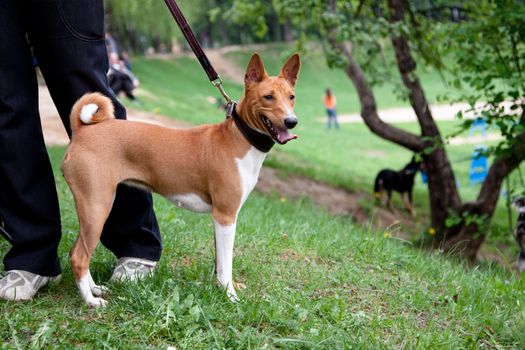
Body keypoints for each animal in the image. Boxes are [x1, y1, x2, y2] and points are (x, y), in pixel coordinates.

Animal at [61, 53, 298, 308]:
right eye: (268, 97)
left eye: (291, 97)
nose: (291, 121)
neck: (240, 139)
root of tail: (82, 131)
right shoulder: (226, 215)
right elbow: (226, 264)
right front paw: (230, 295)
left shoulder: (220, 217)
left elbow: (219, 260)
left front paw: (221, 288)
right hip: (96, 206)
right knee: (79, 256)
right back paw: (91, 301)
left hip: (93, 208)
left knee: (77, 251)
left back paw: (95, 289)